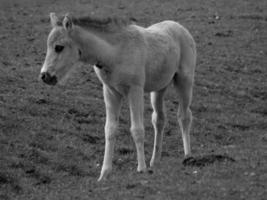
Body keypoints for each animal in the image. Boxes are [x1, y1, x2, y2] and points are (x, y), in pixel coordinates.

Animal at [40, 12, 198, 181]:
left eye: (59, 47)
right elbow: (110, 130)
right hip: (159, 88)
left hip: (184, 81)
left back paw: (188, 157)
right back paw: (154, 161)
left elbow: (137, 129)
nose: (45, 76)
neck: (114, 53)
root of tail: (179, 26)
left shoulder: (135, 90)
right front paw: (104, 174)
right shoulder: (110, 92)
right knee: (159, 119)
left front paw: (141, 169)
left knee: (184, 116)